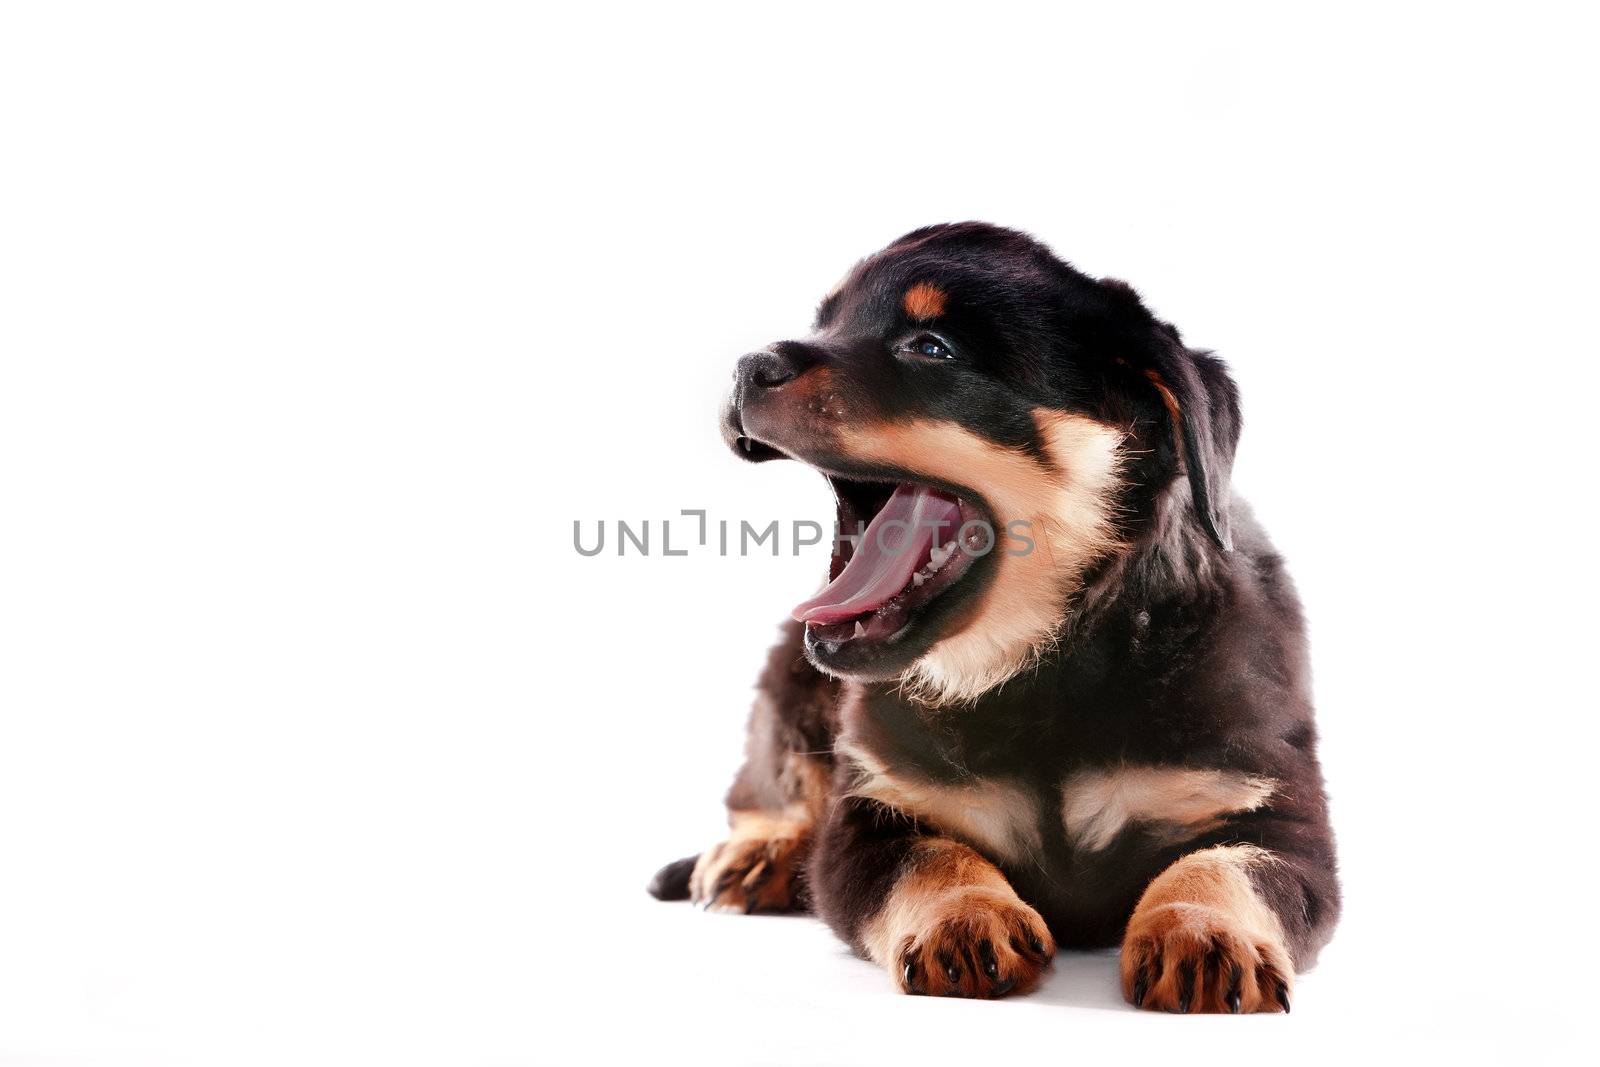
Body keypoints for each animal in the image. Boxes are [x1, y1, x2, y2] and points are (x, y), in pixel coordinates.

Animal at [649, 220, 1337, 1017]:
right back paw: (755, 852)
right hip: (789, 677)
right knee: (766, 780)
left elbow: (1227, 865)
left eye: (930, 348)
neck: (1044, 670)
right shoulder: (873, 811)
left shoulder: (1272, 807)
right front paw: (966, 919)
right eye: (825, 322)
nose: (747, 366)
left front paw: (1205, 932)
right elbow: (930, 858)